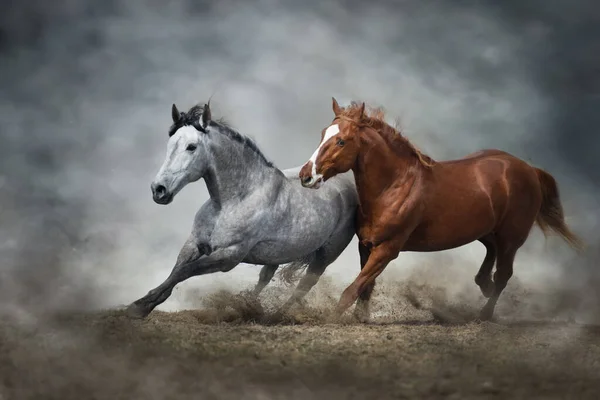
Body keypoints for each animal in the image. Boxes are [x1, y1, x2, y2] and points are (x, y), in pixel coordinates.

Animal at [126, 103, 356, 318]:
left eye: (191, 147)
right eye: (170, 144)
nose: (159, 190)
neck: (231, 202)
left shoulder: (229, 255)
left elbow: (184, 271)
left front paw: (138, 307)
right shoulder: (194, 244)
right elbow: (176, 271)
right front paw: (142, 305)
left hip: (326, 255)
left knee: (304, 285)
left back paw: (274, 315)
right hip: (278, 255)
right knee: (265, 277)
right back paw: (247, 305)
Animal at [298, 98, 580, 320]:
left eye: (341, 141)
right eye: (323, 134)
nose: (306, 176)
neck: (394, 186)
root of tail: (529, 169)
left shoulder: (388, 249)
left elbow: (352, 290)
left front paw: (332, 321)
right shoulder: (366, 246)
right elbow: (365, 286)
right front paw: (361, 318)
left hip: (511, 238)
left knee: (504, 274)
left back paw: (484, 315)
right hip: (487, 232)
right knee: (490, 261)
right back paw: (484, 286)